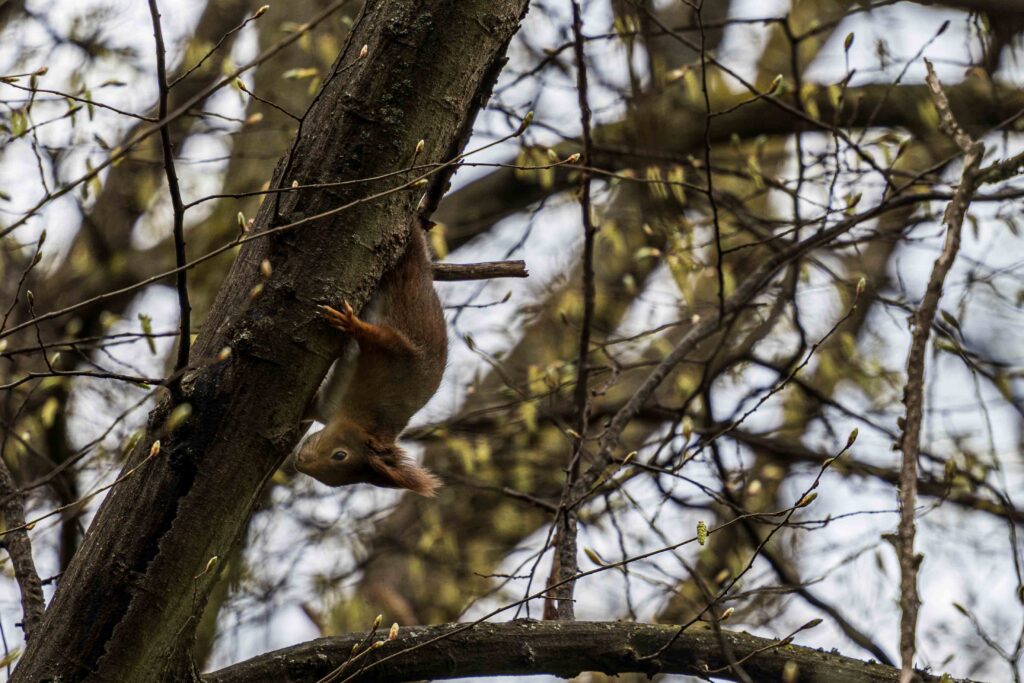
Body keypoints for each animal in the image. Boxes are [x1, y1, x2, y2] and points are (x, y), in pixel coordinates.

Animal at [294, 223, 447, 496]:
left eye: (340, 457)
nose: (300, 462)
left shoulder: (324, 407)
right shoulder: (395, 357)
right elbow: (374, 338)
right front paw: (350, 323)